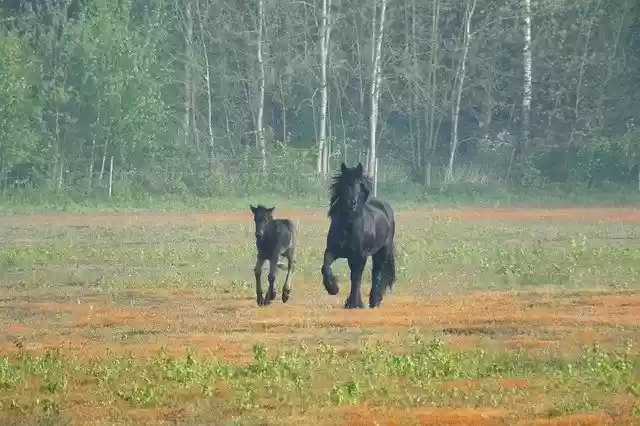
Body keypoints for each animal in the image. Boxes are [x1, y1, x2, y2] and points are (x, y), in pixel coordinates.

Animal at [320, 162, 396, 309]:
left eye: (360, 184)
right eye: (345, 183)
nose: (352, 203)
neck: (348, 226)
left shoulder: (360, 256)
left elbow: (356, 278)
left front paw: (354, 303)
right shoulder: (332, 251)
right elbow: (325, 267)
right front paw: (333, 289)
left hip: (381, 252)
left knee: (376, 274)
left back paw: (375, 300)